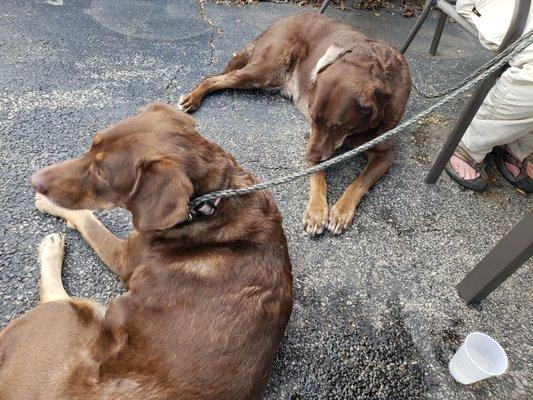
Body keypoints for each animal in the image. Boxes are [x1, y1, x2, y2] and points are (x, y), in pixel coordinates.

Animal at [0, 104, 290, 400]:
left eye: (102, 173)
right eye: (91, 146)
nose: (35, 181)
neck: (210, 205)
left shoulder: (123, 257)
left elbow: (88, 219)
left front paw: (51, 204)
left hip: (70, 317)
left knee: (53, 297)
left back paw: (51, 250)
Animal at [179, 14, 412, 236]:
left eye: (336, 126)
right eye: (313, 118)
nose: (309, 157)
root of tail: (287, 18)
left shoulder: (385, 154)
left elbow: (360, 182)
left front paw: (341, 211)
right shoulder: (313, 138)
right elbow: (319, 174)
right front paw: (317, 211)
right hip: (266, 71)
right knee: (214, 78)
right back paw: (192, 98)